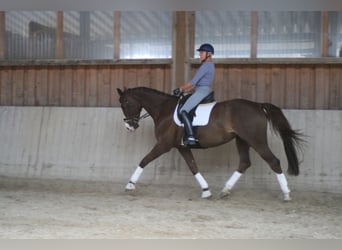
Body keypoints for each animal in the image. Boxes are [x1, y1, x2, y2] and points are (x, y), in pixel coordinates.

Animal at [116, 87, 304, 200]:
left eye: (126, 103)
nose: (129, 126)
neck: (164, 110)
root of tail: (258, 106)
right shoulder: (182, 147)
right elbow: (193, 167)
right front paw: (206, 191)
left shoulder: (164, 145)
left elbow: (144, 160)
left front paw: (129, 185)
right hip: (242, 140)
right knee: (244, 163)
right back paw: (225, 190)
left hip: (256, 140)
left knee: (273, 161)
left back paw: (286, 194)